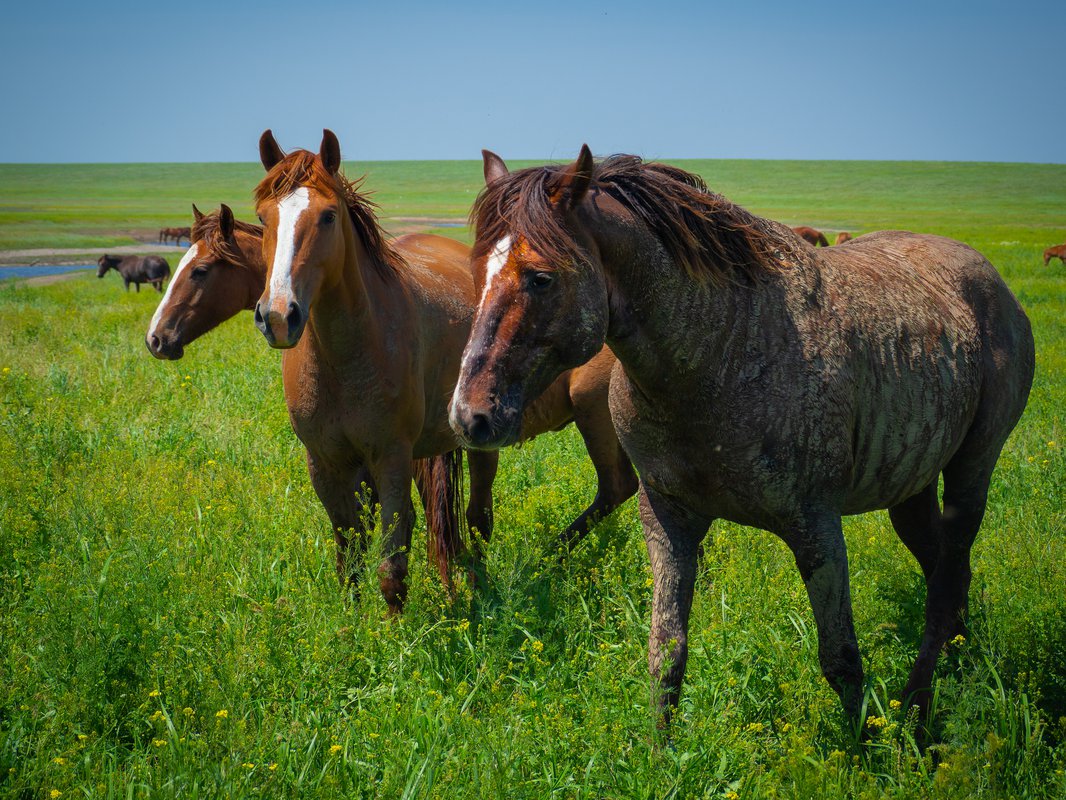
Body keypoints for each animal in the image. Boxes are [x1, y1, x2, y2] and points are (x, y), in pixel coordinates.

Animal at [249, 128, 631, 610]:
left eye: (328, 217)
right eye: (262, 218)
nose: (279, 316)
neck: (345, 357)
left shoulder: (390, 458)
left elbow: (392, 563)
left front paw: (393, 630)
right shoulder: (324, 462)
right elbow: (349, 553)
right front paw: (351, 621)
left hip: (567, 420)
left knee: (509, 510)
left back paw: (507, 577)